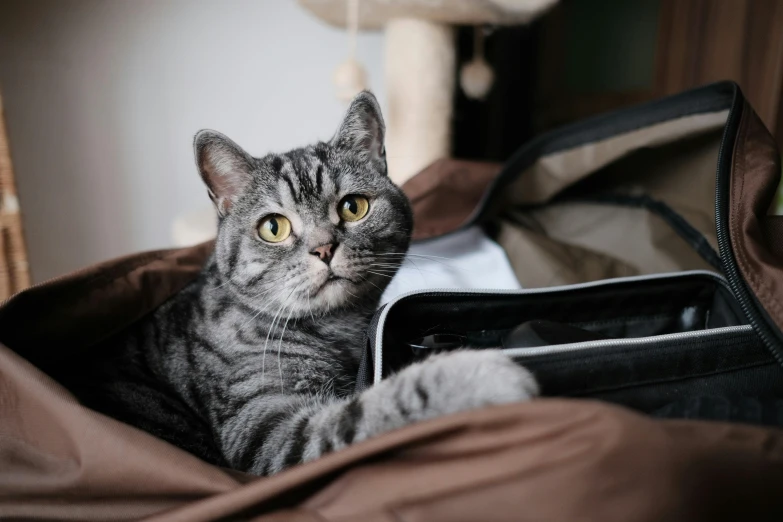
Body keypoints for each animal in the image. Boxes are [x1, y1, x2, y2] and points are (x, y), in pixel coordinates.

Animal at [67, 91, 540, 474]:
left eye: (353, 207)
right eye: (273, 227)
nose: (324, 248)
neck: (339, 328)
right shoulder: (272, 430)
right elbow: (368, 409)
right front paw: (478, 376)